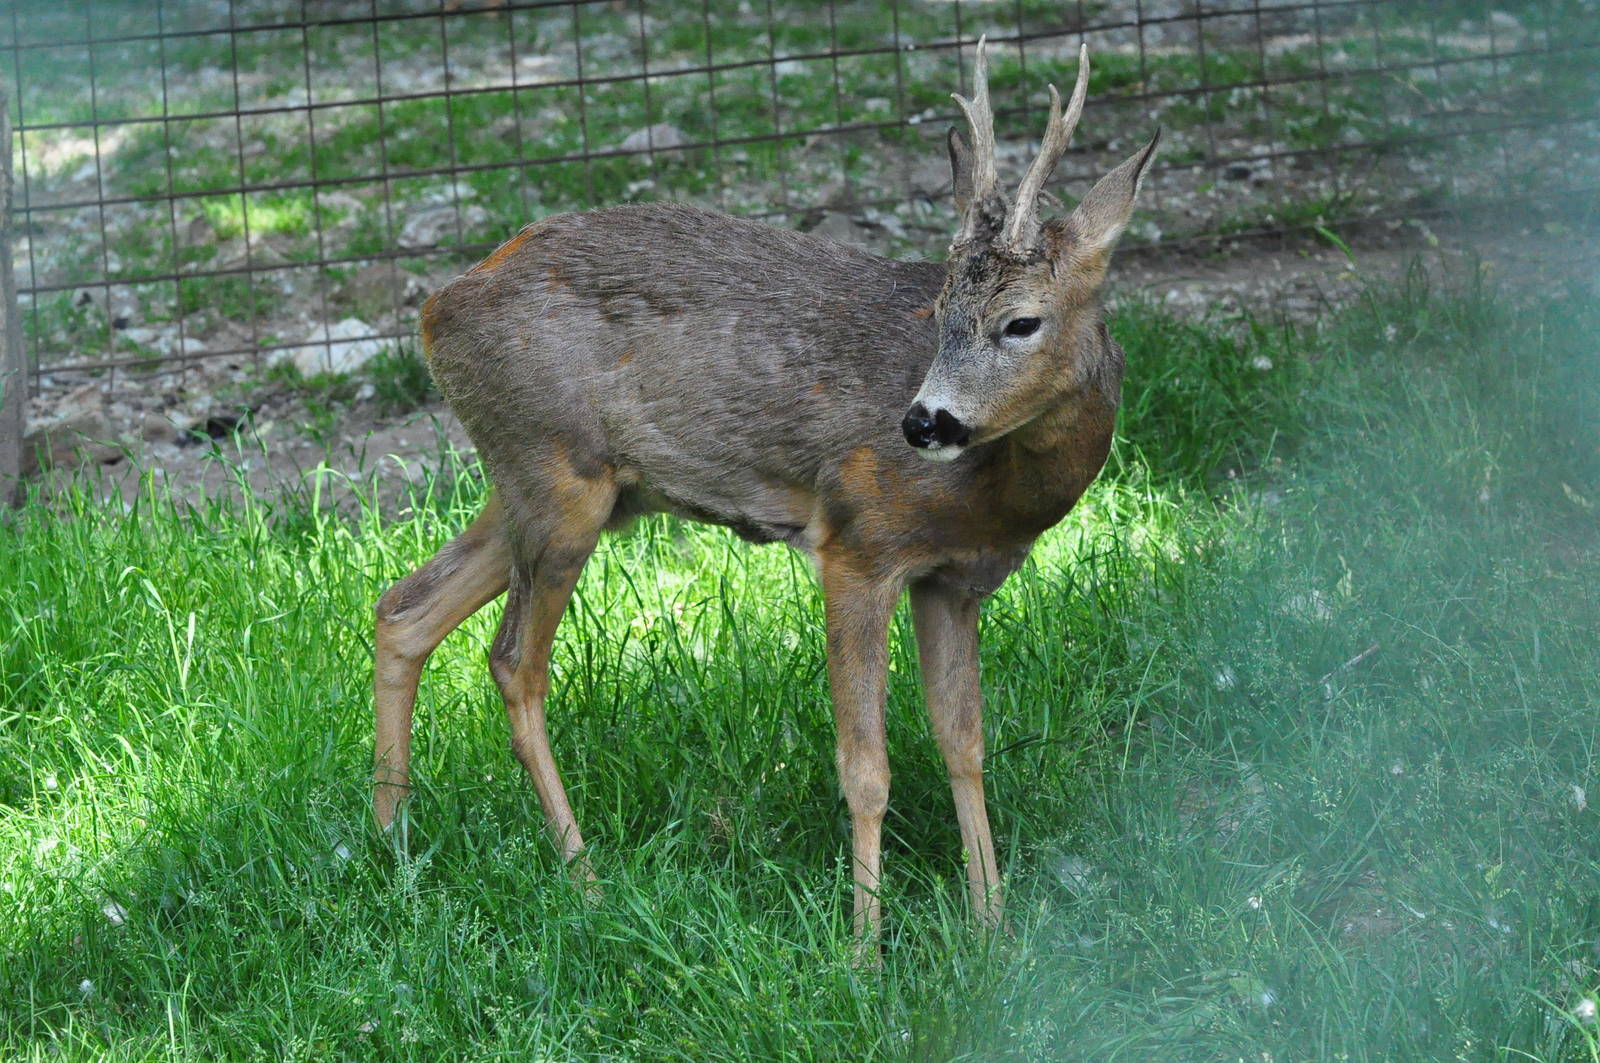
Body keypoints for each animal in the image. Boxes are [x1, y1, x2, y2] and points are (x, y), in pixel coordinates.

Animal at [372, 38, 1158, 957]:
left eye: (1021, 321)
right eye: (938, 310)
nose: (922, 421)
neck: (992, 496)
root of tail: (434, 310)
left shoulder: (953, 581)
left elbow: (964, 742)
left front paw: (991, 927)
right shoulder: (859, 543)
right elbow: (866, 767)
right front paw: (862, 951)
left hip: (562, 485)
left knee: (405, 607)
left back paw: (390, 846)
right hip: (557, 477)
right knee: (512, 663)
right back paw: (587, 884)